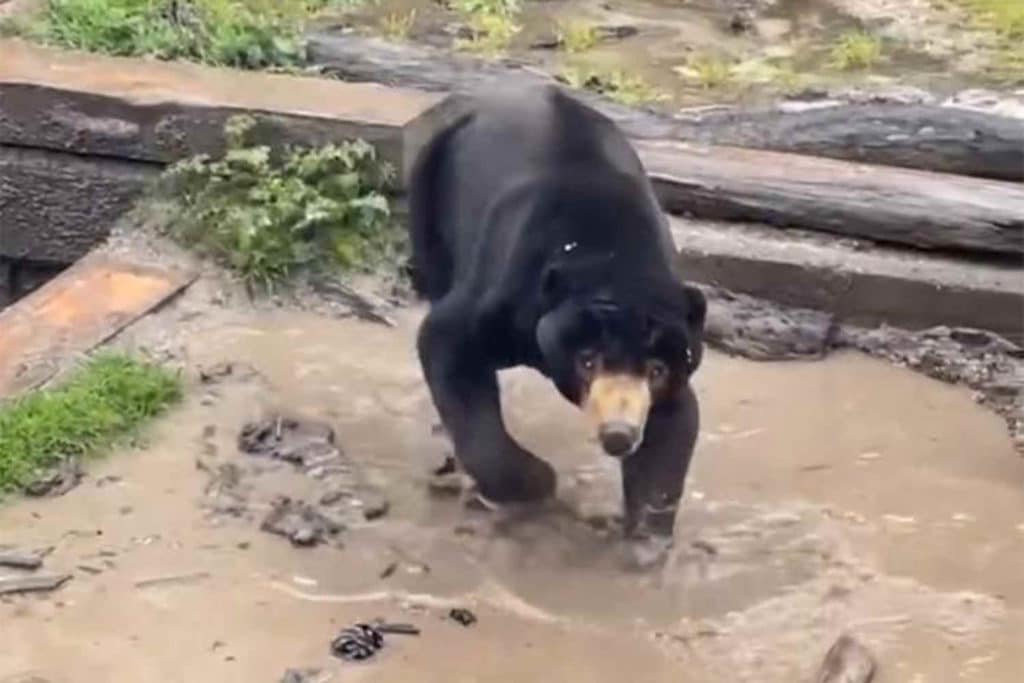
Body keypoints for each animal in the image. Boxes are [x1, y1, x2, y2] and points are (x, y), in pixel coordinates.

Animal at [407, 84, 707, 558]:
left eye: (656, 370)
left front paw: (646, 542)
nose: (619, 435)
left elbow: (674, 421)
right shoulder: (506, 292)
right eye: (588, 359)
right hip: (432, 188)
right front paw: (535, 484)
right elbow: (446, 341)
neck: (610, 260)